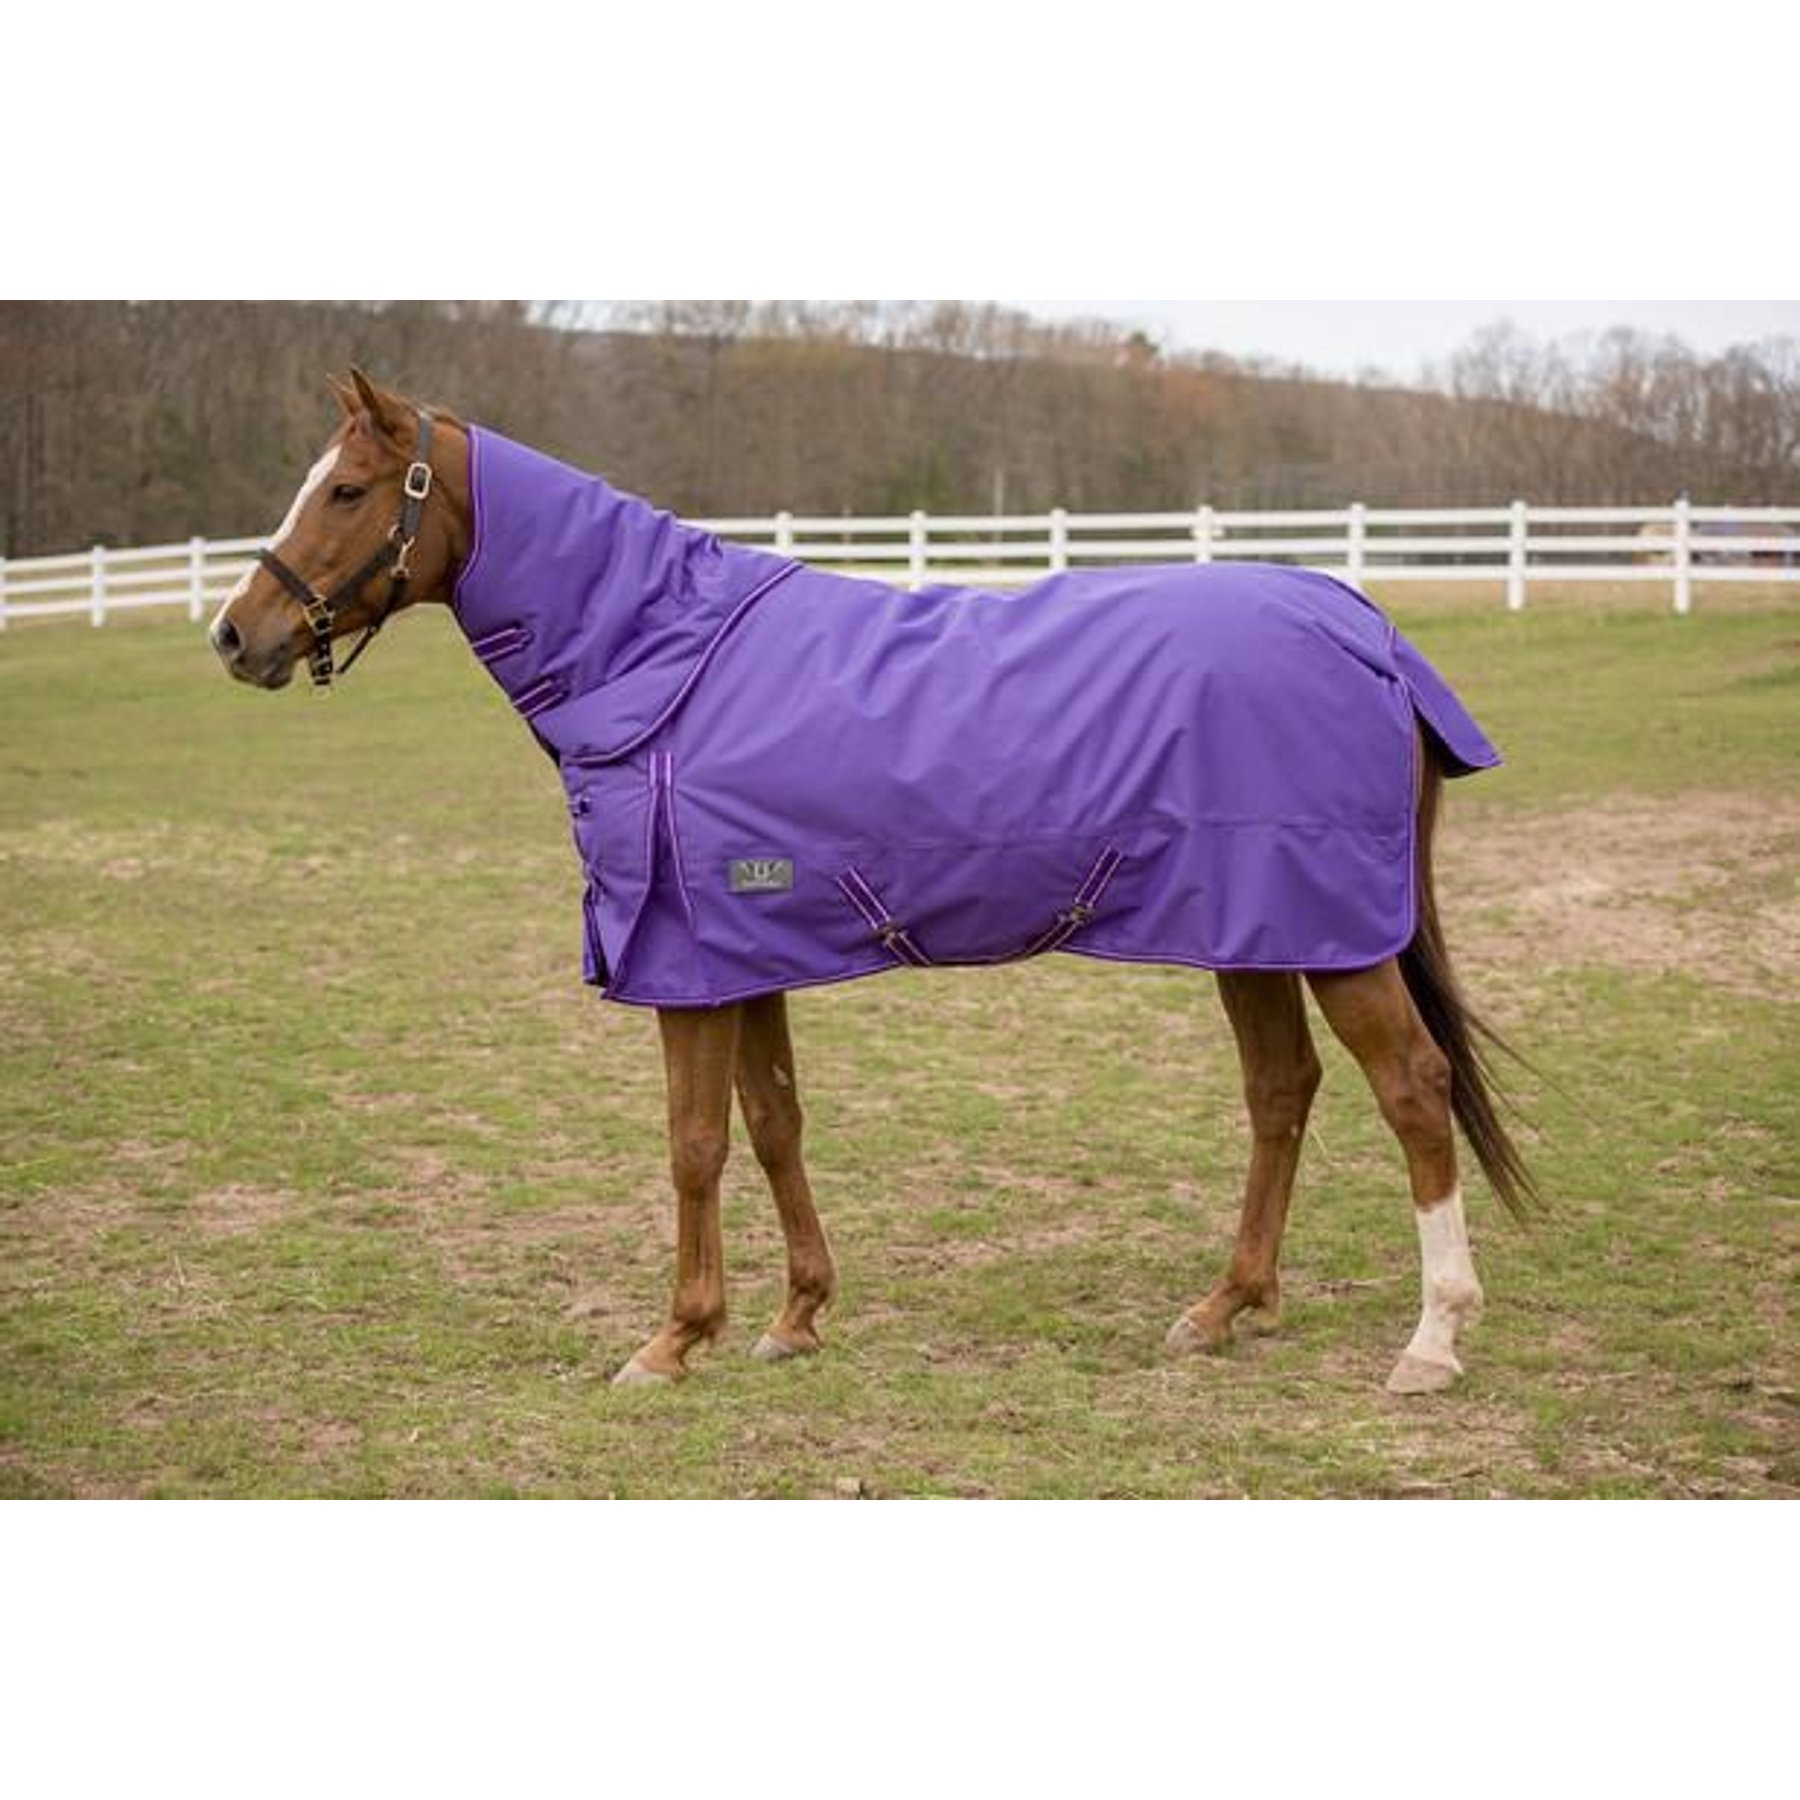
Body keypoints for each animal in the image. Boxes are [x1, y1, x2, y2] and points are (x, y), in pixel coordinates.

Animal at [209, 368, 1534, 1395]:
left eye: (346, 490)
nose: (235, 635)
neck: (661, 661)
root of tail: (1368, 630)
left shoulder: (684, 968)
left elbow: (694, 1144)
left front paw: (672, 1340)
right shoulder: (741, 952)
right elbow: (773, 1123)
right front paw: (794, 1318)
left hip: (1334, 936)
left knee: (1411, 1090)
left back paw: (1431, 1342)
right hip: (1258, 931)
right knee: (1280, 1093)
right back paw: (1227, 1308)